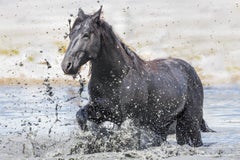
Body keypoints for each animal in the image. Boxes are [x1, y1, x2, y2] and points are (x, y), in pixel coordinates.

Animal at [61, 6, 213, 147]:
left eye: (86, 35)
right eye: (70, 35)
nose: (66, 66)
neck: (116, 79)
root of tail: (191, 70)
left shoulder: (131, 118)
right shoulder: (104, 111)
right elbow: (80, 115)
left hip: (190, 122)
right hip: (166, 126)